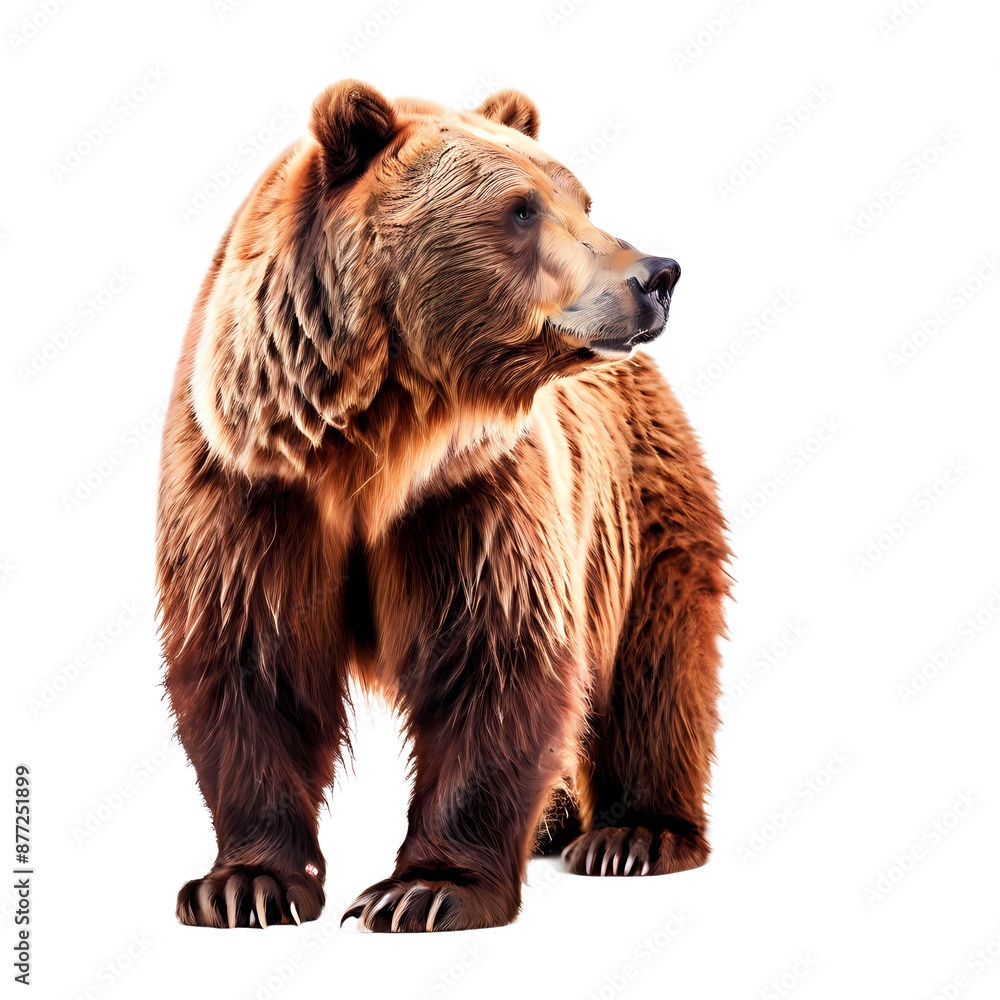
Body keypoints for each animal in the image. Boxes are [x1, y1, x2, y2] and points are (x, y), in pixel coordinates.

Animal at [156, 79, 731, 932]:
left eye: (581, 198)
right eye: (521, 208)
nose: (656, 276)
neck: (374, 440)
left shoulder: (472, 492)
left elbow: (495, 657)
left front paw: (425, 889)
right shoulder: (253, 486)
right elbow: (252, 662)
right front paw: (244, 884)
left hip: (638, 505)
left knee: (655, 661)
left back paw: (634, 834)